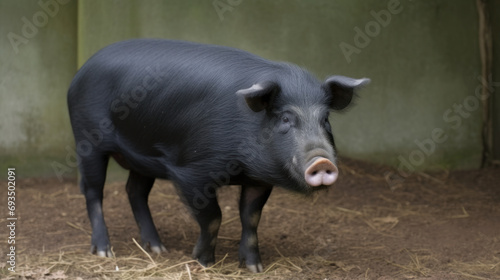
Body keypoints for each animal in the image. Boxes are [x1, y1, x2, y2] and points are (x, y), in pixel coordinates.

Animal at [66, 38, 370, 272]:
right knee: (93, 191)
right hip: (87, 140)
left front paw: (254, 267)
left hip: (142, 157)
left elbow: (251, 218)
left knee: (135, 191)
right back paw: (105, 251)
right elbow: (213, 216)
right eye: (285, 118)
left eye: (326, 119)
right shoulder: (190, 172)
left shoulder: (258, 179)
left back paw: (158, 249)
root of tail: (79, 73)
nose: (322, 160)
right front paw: (202, 262)